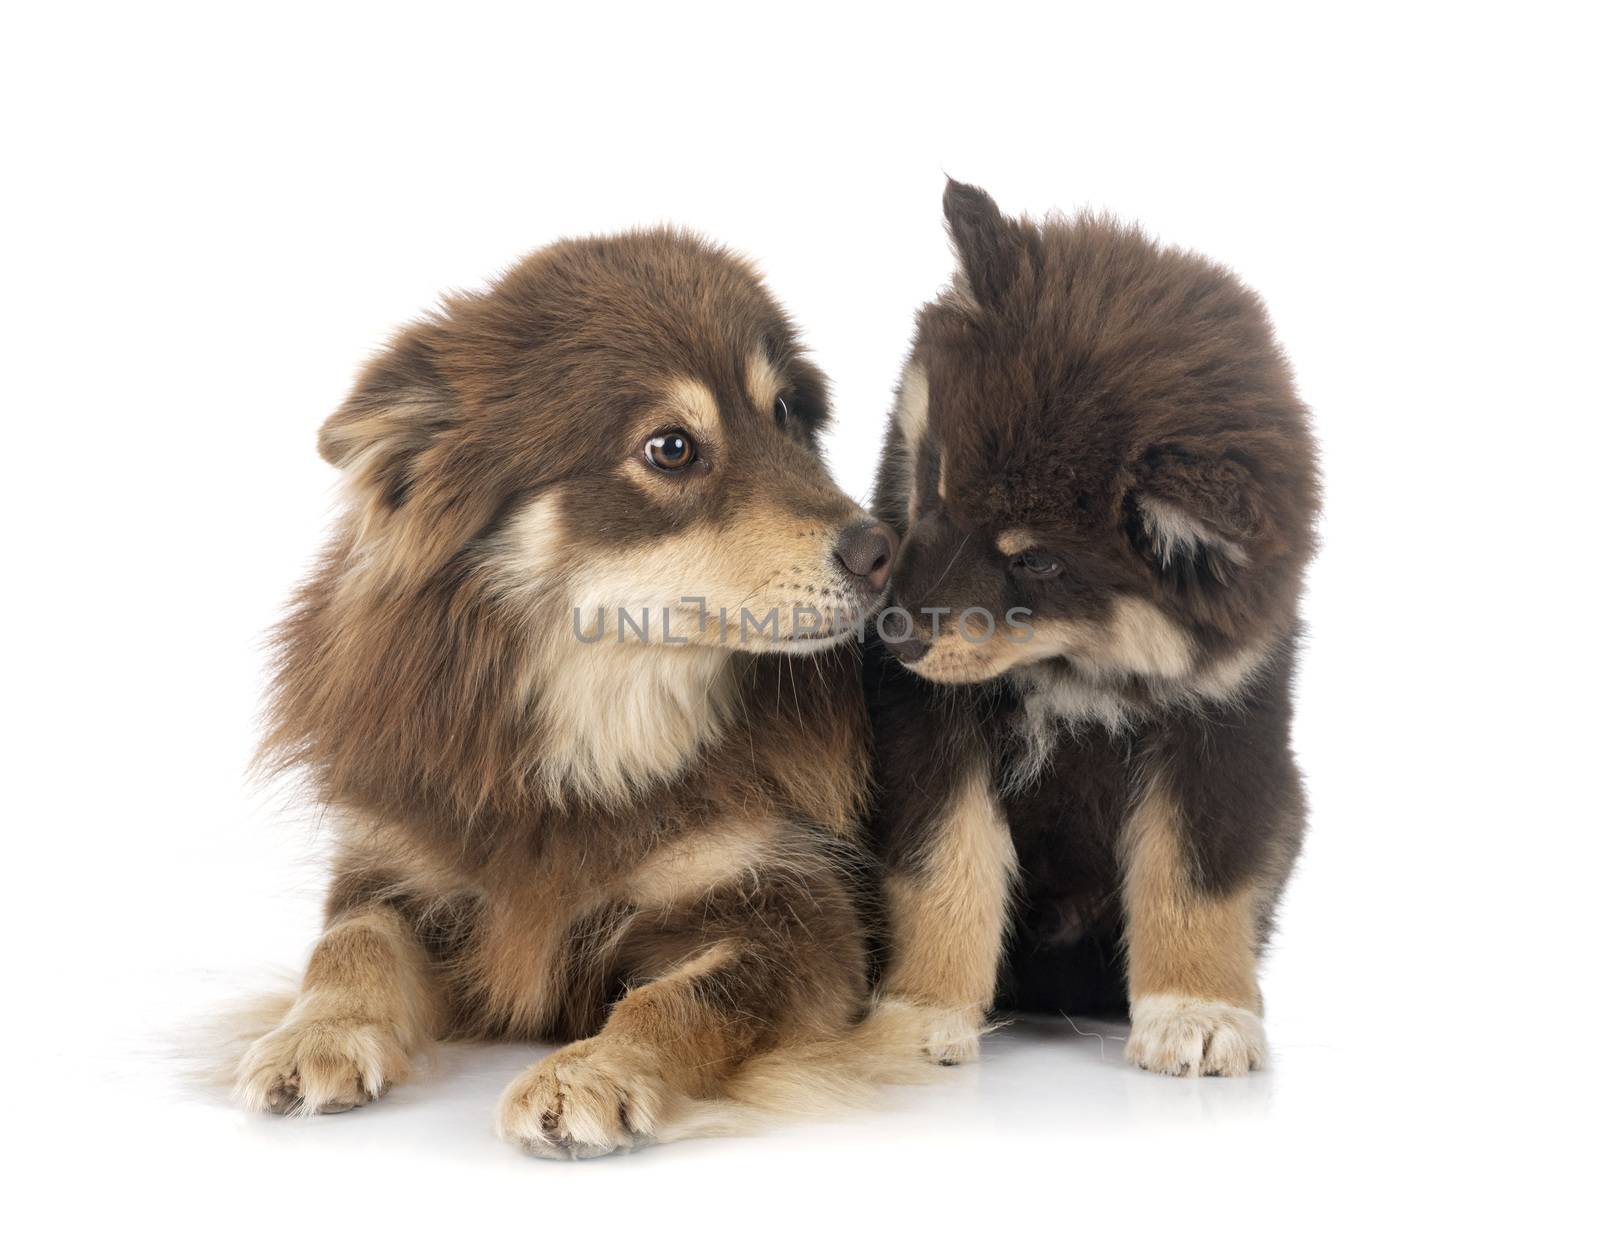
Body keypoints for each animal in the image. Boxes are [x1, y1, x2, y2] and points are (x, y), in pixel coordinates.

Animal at [870, 181, 1318, 1075]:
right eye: (934, 477)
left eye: (1039, 562)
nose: (895, 634)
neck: (1076, 667)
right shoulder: (932, 725)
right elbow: (948, 867)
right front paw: (921, 1011)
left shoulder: (1221, 724)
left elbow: (1192, 878)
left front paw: (1199, 1007)